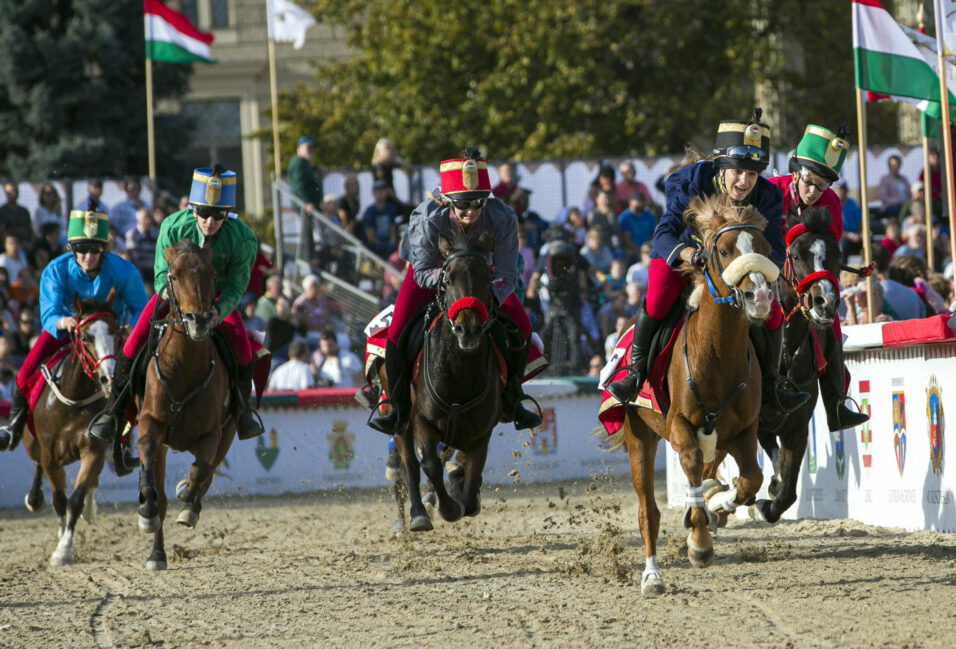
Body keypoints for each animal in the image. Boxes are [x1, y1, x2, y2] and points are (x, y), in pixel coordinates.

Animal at [134, 240, 235, 568]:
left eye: (212, 275)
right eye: (174, 276)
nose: (199, 320)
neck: (183, 369)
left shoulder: (213, 433)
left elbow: (200, 469)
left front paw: (188, 500)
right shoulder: (150, 423)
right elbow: (148, 457)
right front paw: (147, 513)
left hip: (228, 433)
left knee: (209, 470)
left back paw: (190, 505)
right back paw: (157, 550)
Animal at [608, 195, 780, 596]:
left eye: (765, 249)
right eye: (723, 250)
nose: (761, 296)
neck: (715, 356)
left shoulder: (743, 432)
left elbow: (750, 480)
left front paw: (719, 505)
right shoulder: (679, 425)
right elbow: (688, 463)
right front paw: (700, 542)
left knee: (708, 474)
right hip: (639, 436)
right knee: (649, 511)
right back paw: (652, 575)